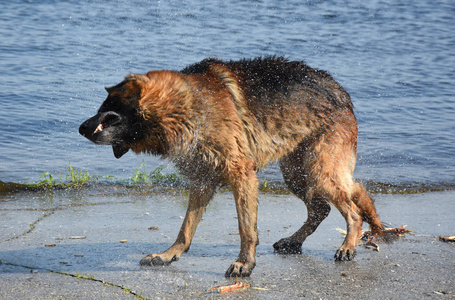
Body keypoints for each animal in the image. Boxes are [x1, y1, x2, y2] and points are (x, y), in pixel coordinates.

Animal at [79, 57, 384, 278]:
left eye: (106, 111)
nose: (80, 128)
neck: (187, 106)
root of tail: (341, 92)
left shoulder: (242, 176)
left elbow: (246, 229)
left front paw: (244, 264)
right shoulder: (202, 181)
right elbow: (186, 228)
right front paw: (169, 255)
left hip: (318, 171)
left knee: (352, 211)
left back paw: (348, 245)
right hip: (297, 174)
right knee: (330, 204)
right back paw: (296, 241)